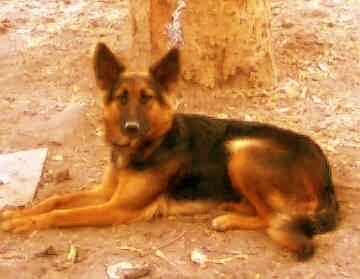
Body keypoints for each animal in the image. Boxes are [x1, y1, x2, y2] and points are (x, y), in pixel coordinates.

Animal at [0, 42, 338, 262]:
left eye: (146, 97)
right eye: (121, 98)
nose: (131, 128)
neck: (147, 146)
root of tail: (326, 175)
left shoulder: (117, 208)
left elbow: (63, 213)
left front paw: (23, 223)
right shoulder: (105, 193)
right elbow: (56, 200)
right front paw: (17, 213)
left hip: (241, 150)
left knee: (272, 218)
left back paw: (228, 219)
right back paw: (233, 206)